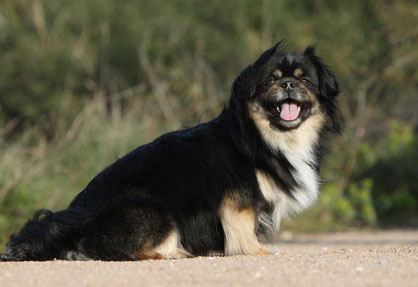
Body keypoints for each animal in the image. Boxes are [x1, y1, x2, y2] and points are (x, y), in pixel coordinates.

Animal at [0, 41, 340, 262]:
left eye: (305, 81)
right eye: (271, 80)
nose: (288, 84)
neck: (264, 136)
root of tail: (75, 219)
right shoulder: (238, 198)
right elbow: (242, 230)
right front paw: (258, 251)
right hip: (155, 209)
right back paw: (173, 252)